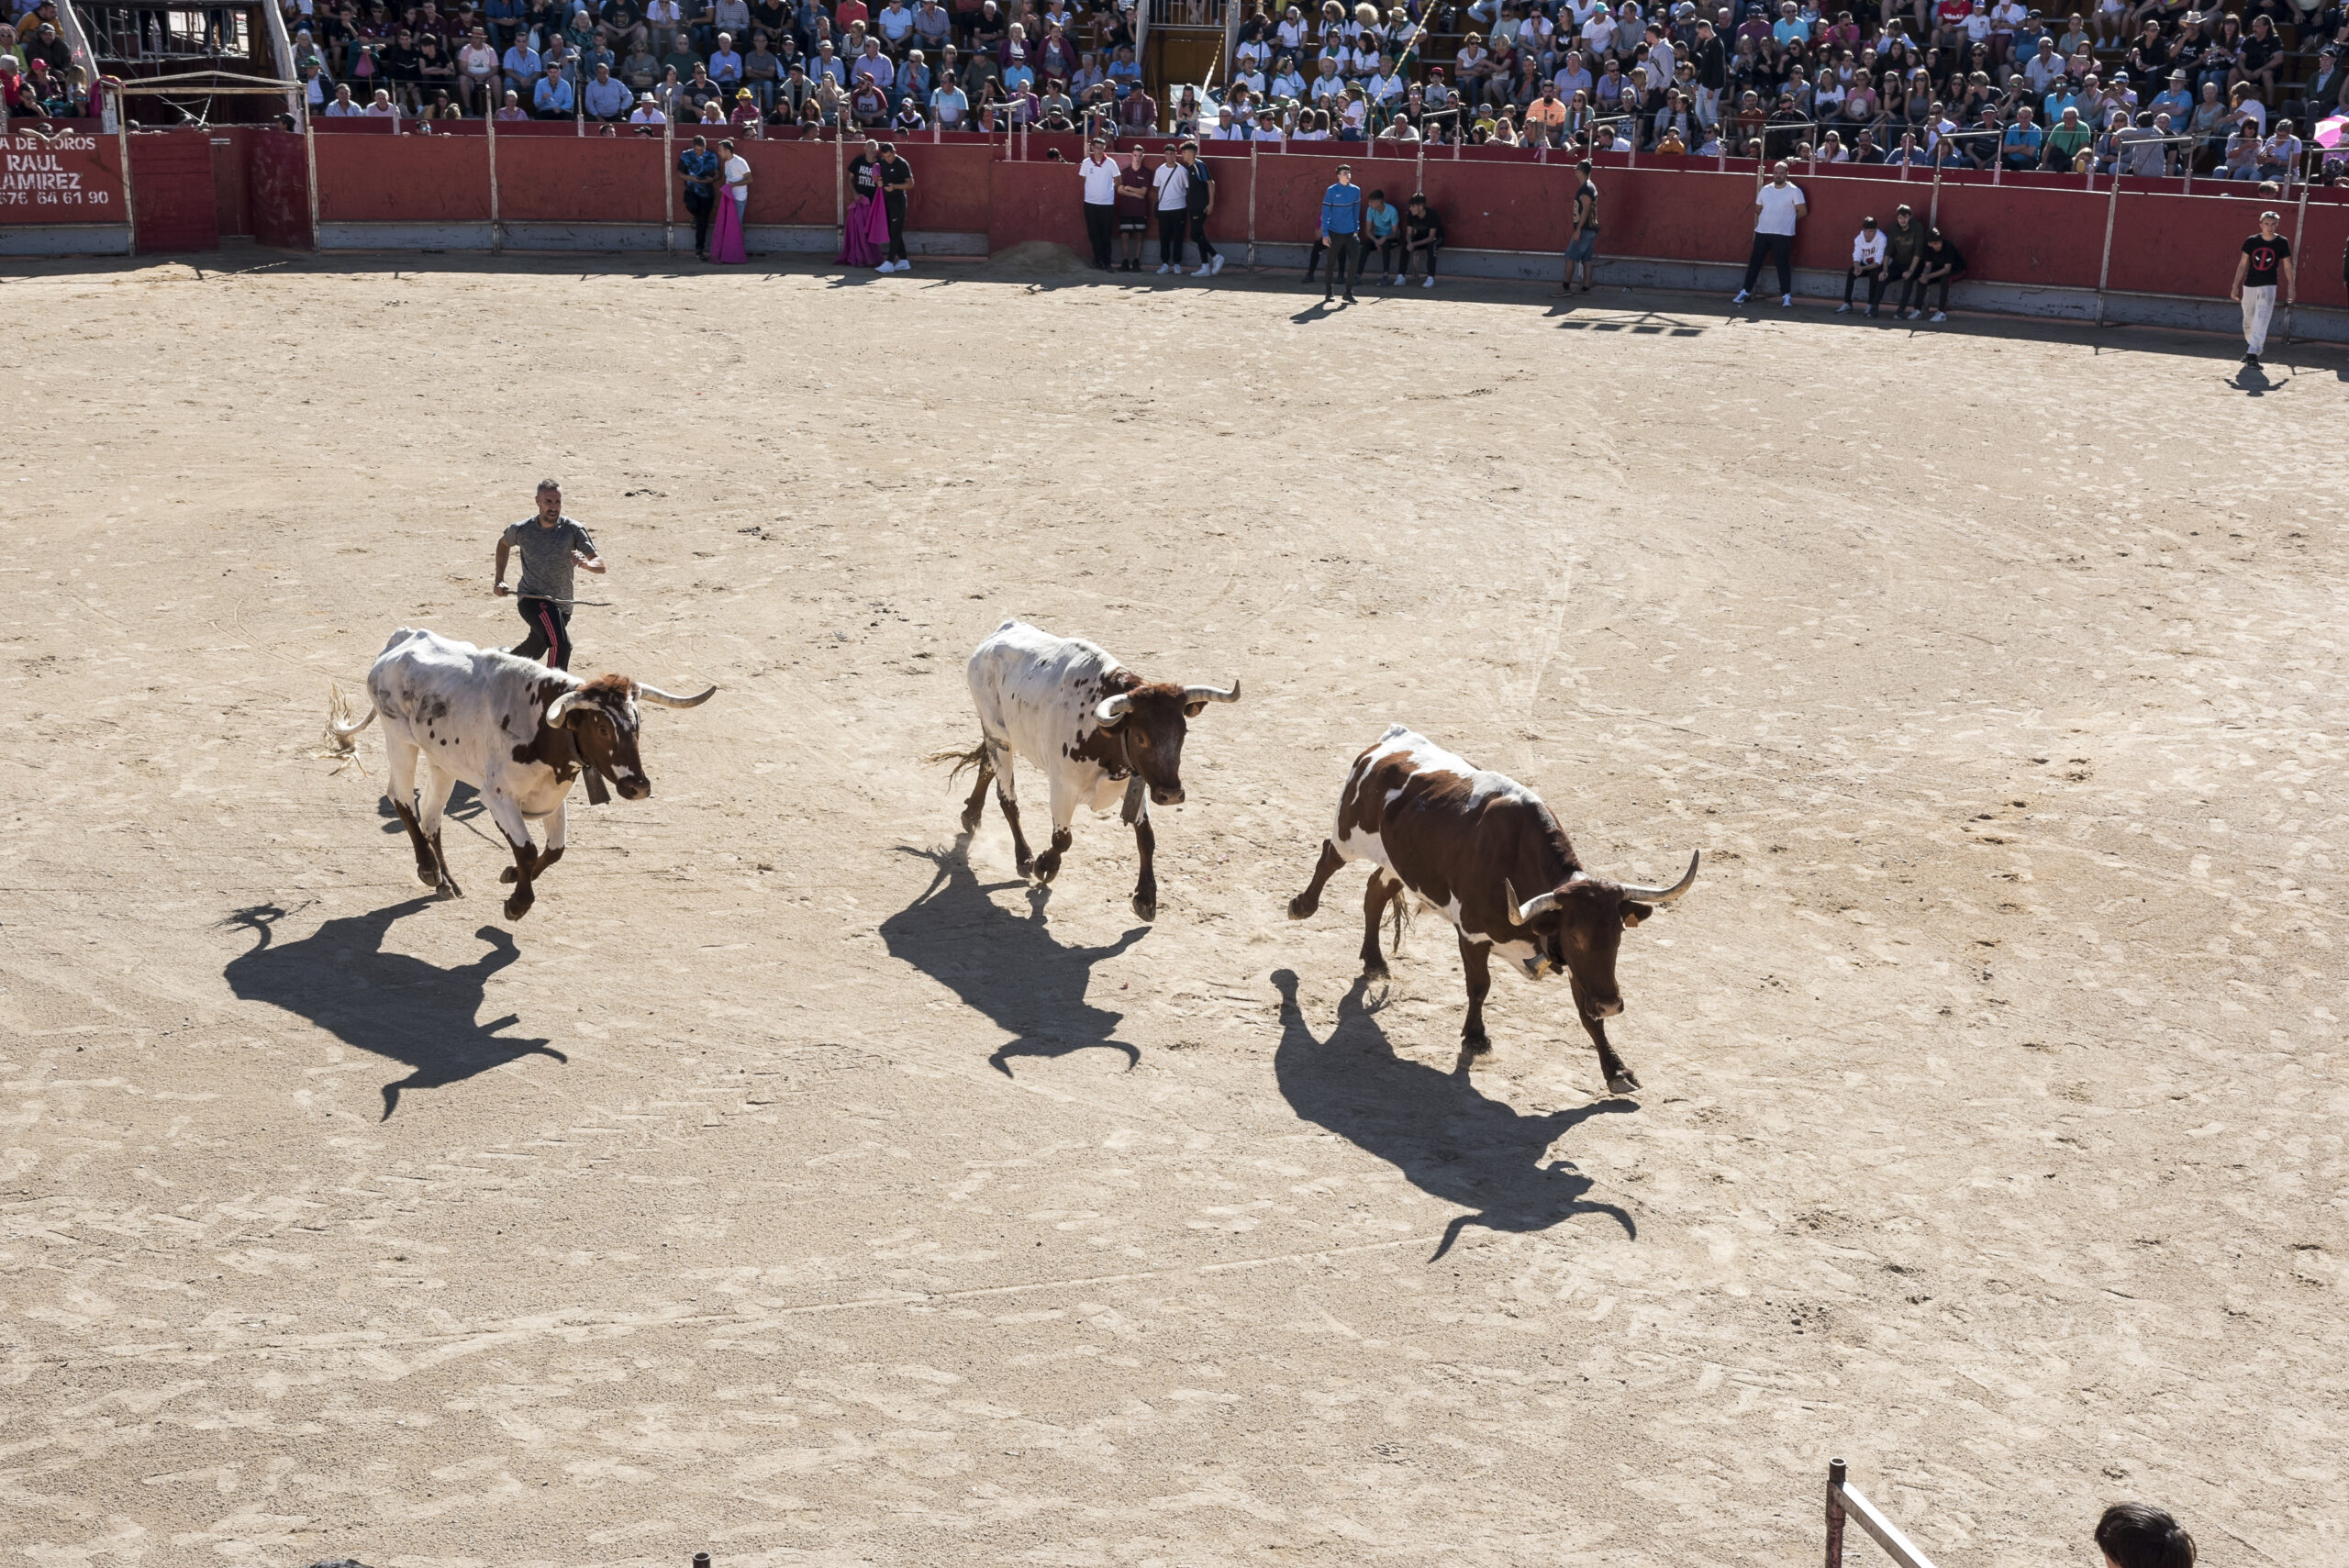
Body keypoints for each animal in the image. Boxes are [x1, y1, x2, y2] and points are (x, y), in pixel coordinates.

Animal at [330, 624, 709, 919]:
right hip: (399, 740)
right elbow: (527, 849)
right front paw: (517, 903)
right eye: (603, 729)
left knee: (431, 814)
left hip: (443, 761)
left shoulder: (552, 797)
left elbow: (555, 850)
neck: (543, 728)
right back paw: (428, 869)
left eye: (637, 724)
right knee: (403, 798)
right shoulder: (498, 797)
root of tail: (403, 638)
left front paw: (511, 875)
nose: (638, 786)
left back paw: (445, 882)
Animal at [934, 619, 1240, 919]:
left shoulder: (1136, 783)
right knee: (1007, 796)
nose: (1172, 795)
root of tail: (1000, 632)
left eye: (1183, 732)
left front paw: (1145, 898)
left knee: (987, 766)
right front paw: (1044, 865)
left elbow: (1147, 837)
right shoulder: (1062, 788)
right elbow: (1062, 839)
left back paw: (971, 815)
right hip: (999, 736)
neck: (1104, 735)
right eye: (1141, 737)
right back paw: (1023, 856)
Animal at [1286, 728, 1691, 1098]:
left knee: (1375, 892)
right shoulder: (1474, 934)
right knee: (1328, 856)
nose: (1610, 1004)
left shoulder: (1578, 963)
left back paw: (1374, 961)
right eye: (1576, 935)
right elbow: (1479, 986)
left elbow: (1586, 1013)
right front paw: (1476, 1038)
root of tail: (1391, 740)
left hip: (1397, 862)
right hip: (1350, 835)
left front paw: (1616, 1069)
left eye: (1618, 935)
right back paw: (1300, 908)